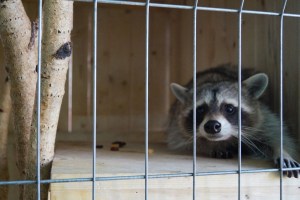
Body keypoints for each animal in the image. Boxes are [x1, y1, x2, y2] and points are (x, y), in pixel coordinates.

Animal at [168, 64, 298, 178]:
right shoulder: (177, 128)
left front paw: (282, 151)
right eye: (200, 109)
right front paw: (213, 146)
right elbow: (189, 143)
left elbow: (275, 134)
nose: (212, 125)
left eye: (229, 108)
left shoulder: (262, 119)